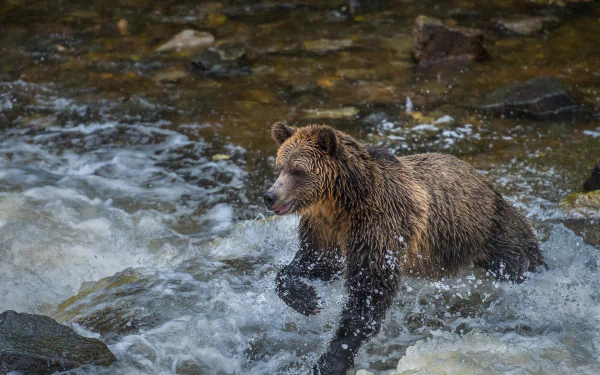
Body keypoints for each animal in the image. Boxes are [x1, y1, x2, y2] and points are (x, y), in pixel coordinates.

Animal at [264, 122, 548, 374]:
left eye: (297, 170)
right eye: (279, 168)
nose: (269, 196)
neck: (341, 203)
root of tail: (486, 181)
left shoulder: (379, 225)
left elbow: (368, 293)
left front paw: (330, 360)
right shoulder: (324, 230)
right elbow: (316, 263)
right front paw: (307, 299)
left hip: (491, 230)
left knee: (518, 260)